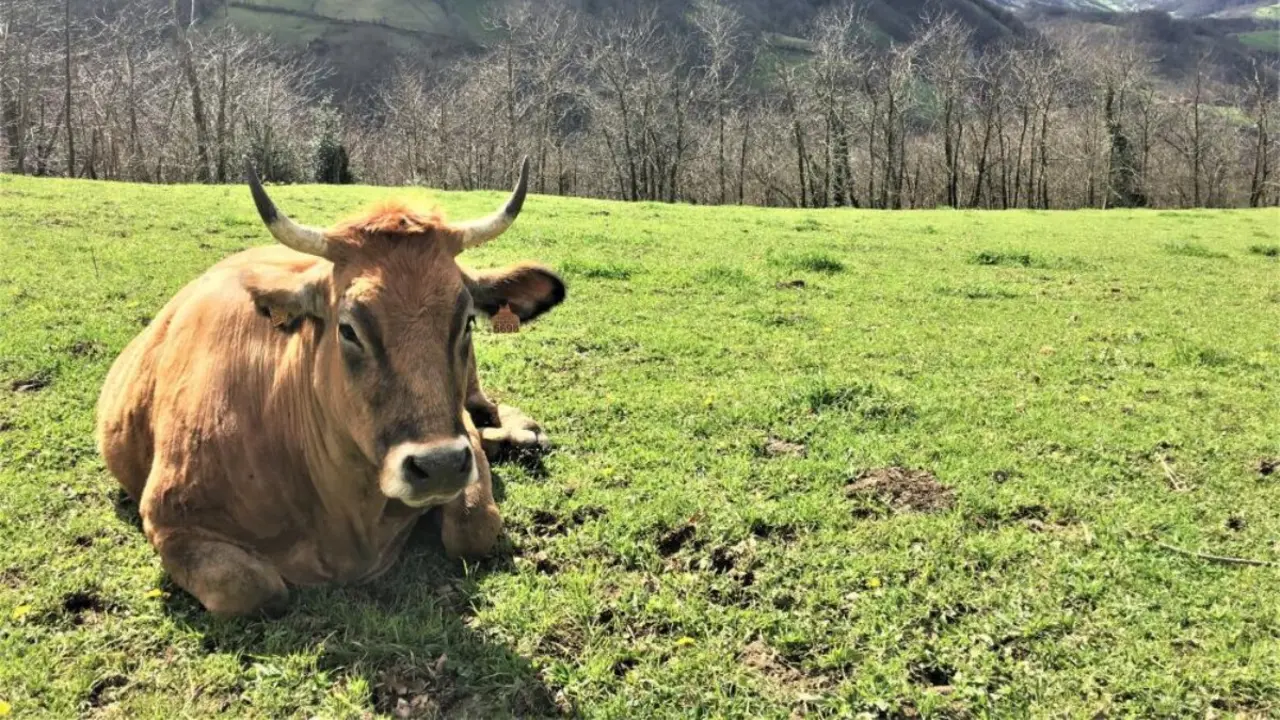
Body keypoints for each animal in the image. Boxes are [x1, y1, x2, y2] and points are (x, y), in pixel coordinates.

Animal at [95, 157, 564, 617]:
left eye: (466, 321)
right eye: (348, 328)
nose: (441, 465)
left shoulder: (460, 438)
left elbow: (473, 529)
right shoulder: (168, 520)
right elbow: (253, 588)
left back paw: (523, 434)